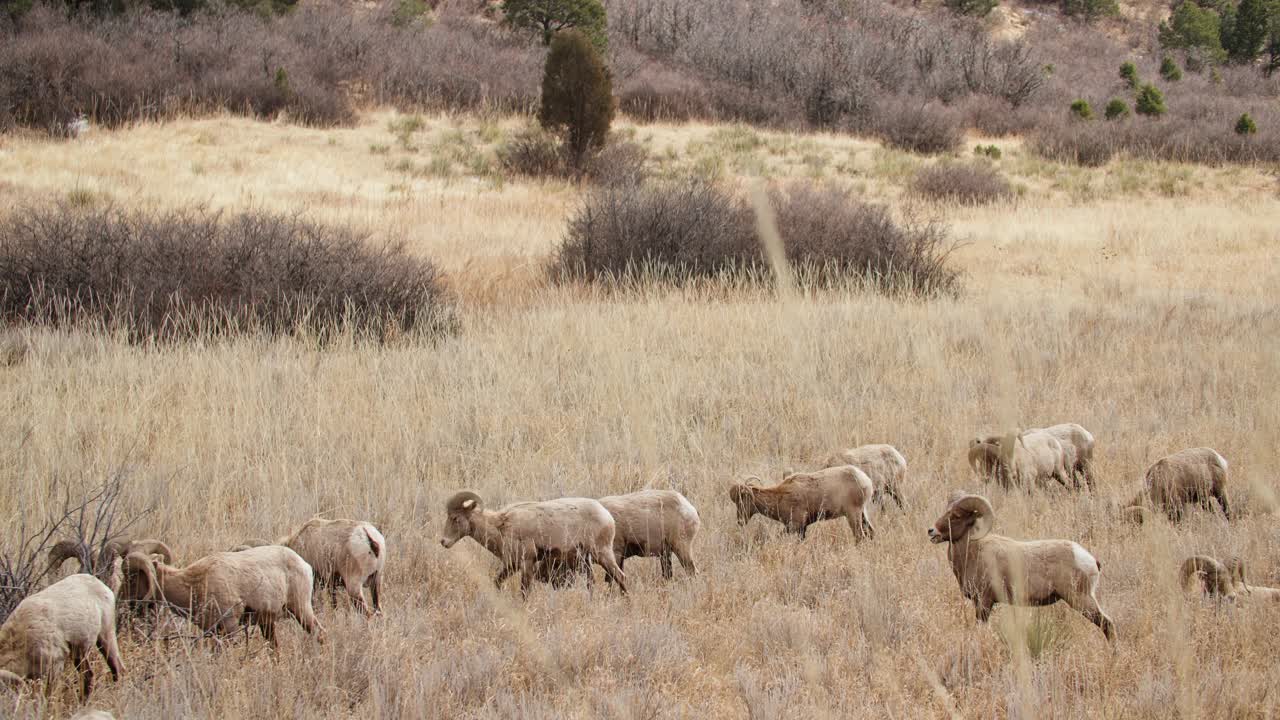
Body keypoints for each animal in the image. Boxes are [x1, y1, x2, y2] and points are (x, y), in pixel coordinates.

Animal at [118, 543, 322, 645]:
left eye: (131, 578)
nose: (120, 600)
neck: (194, 584)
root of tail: (304, 564)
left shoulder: (229, 628)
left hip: (301, 611)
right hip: (268, 624)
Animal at [440, 486, 629, 594]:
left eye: (455, 518)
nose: (443, 542)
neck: (500, 526)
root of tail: (607, 516)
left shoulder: (526, 563)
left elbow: (525, 591)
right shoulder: (511, 565)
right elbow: (497, 583)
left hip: (602, 554)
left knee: (621, 577)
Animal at [537, 484, 706, 586]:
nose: (542, 579)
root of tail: (690, 508)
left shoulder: (616, 555)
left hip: (681, 549)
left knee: (692, 572)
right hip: (666, 555)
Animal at [737, 466, 875, 538]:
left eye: (741, 501)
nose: (740, 521)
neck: (780, 496)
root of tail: (866, 481)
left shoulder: (796, 527)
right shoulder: (800, 528)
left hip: (853, 515)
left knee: (860, 535)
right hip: (862, 514)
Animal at [926, 491, 1116, 638]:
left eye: (956, 516)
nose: (931, 531)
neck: (972, 554)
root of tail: (1090, 559)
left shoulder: (984, 602)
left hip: (1080, 599)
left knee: (1107, 625)